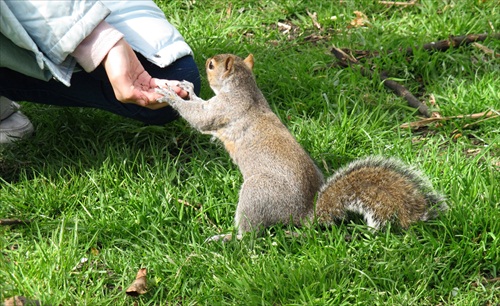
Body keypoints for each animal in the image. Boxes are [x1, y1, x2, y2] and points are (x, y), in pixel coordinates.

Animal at [155, 53, 446, 243]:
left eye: (211, 65)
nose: (205, 62)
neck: (245, 89)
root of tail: (306, 213)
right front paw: (184, 88)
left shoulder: (224, 110)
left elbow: (199, 118)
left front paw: (170, 95)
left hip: (256, 194)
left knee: (250, 236)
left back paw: (227, 238)